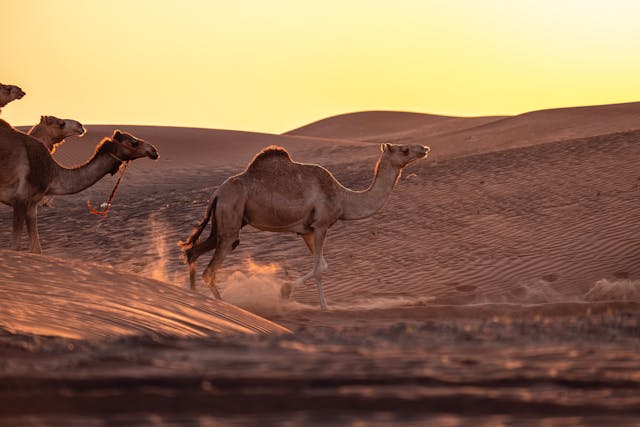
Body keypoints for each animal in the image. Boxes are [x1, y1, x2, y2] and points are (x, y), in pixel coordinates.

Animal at [0, 119, 159, 254]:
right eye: (133, 142)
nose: (154, 151)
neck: (52, 173)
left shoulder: (32, 204)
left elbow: (36, 250)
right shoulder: (21, 198)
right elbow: (15, 247)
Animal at [180, 142, 430, 310]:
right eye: (404, 150)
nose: (424, 148)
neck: (344, 198)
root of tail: (217, 193)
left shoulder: (306, 230)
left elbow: (324, 265)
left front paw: (285, 291)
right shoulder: (321, 225)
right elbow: (319, 269)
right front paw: (323, 307)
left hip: (224, 221)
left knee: (193, 251)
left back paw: (193, 298)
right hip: (231, 216)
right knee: (210, 269)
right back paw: (225, 307)